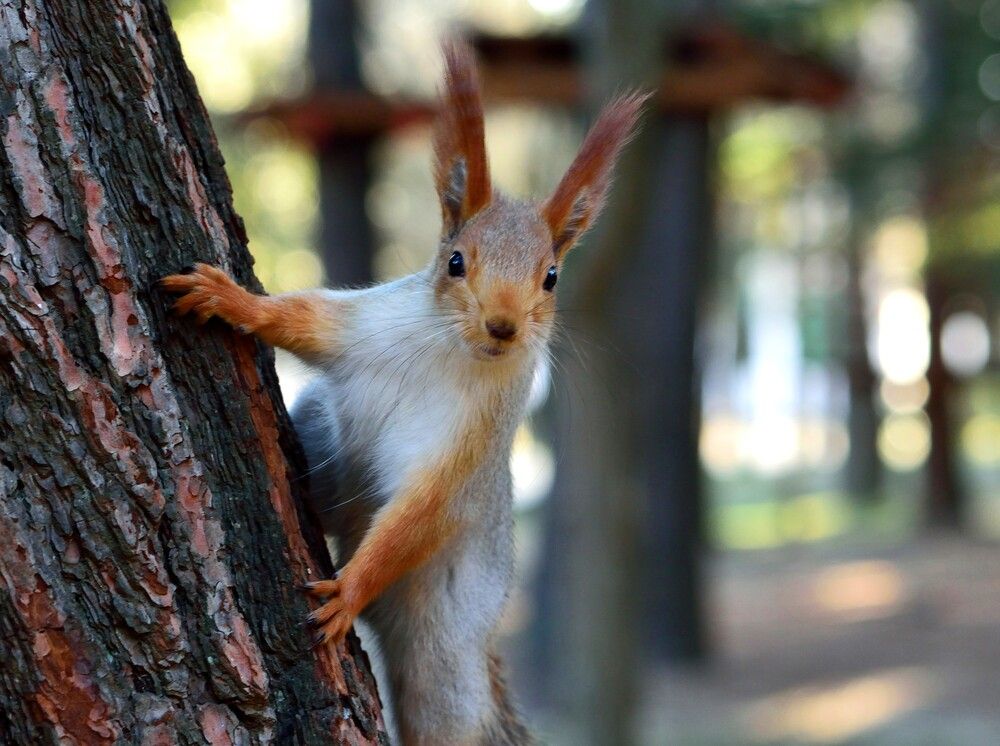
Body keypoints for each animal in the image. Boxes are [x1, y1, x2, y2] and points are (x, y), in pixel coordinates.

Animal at [162, 41, 646, 746]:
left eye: (552, 277)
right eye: (455, 261)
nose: (503, 325)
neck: (450, 352)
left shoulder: (468, 442)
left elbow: (416, 516)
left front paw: (346, 594)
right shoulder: (364, 325)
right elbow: (301, 321)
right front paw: (231, 299)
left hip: (444, 667)